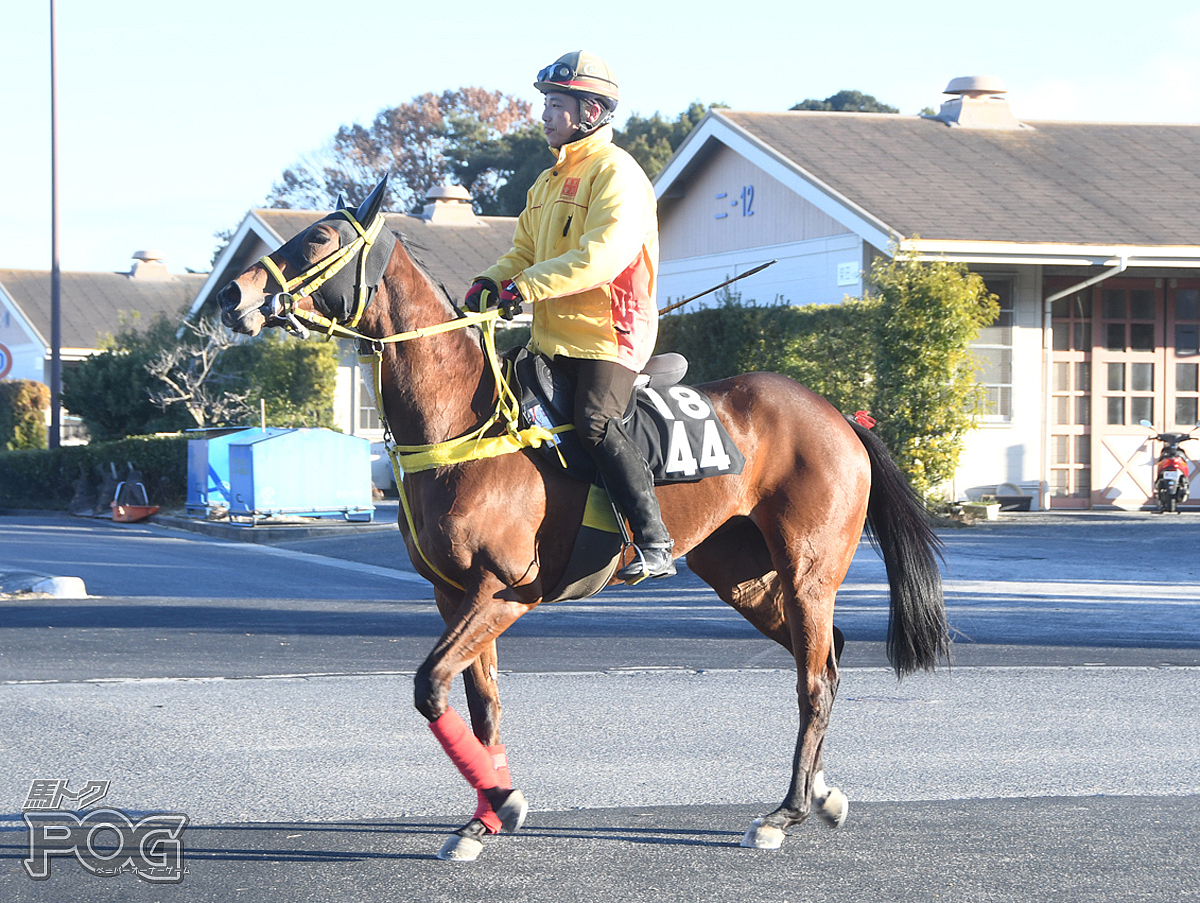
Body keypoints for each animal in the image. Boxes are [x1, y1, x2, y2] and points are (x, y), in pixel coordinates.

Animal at [213, 181, 945, 859]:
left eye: (320, 238)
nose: (231, 294)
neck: (466, 422)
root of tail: (838, 415)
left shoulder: (508, 590)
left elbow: (430, 688)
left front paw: (503, 802)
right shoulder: (454, 595)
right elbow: (480, 705)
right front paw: (482, 818)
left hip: (806, 570)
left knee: (814, 680)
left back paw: (783, 812)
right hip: (743, 575)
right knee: (827, 656)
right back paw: (820, 793)